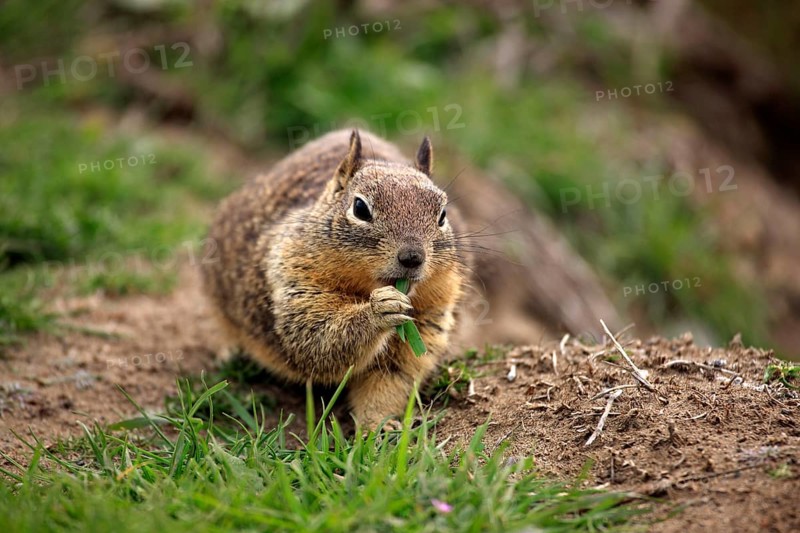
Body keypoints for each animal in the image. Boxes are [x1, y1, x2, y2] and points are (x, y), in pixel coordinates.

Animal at [201, 129, 469, 429]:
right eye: (360, 208)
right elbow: (318, 338)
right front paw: (379, 310)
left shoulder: (428, 318)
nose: (412, 257)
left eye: (442, 215)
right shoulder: (296, 281)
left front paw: (380, 424)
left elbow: (388, 382)